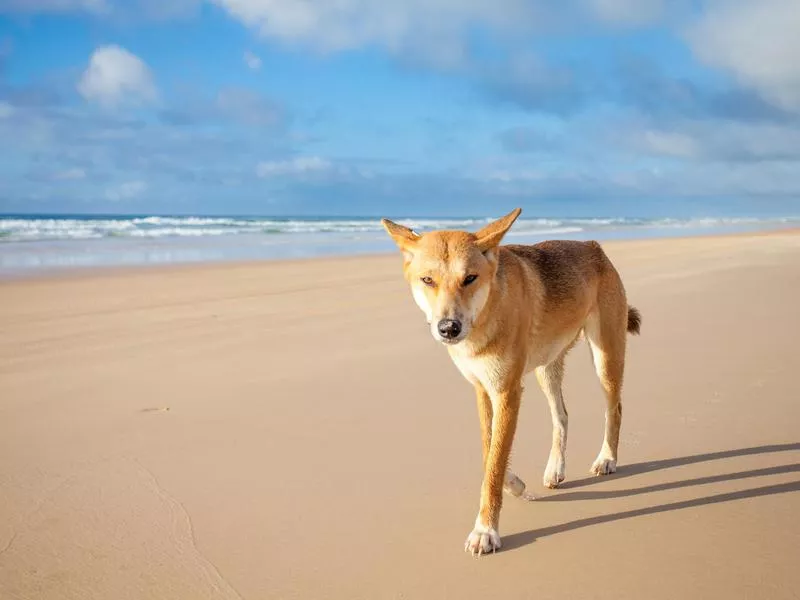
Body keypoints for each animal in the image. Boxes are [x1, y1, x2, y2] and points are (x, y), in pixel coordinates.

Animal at [382, 210, 644, 556]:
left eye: (470, 278)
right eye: (428, 280)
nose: (449, 328)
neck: (487, 313)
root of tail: (593, 245)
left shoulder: (507, 391)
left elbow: (493, 464)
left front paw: (485, 530)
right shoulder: (483, 390)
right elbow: (490, 452)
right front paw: (515, 484)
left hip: (605, 358)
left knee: (614, 409)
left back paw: (607, 459)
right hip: (547, 367)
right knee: (562, 416)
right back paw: (555, 468)